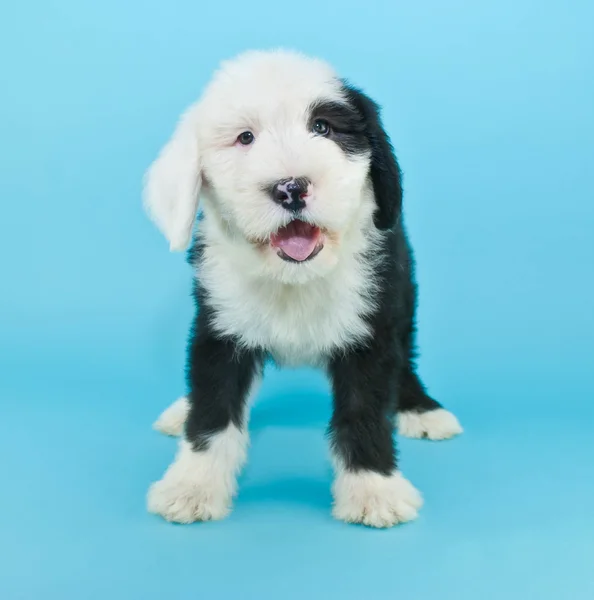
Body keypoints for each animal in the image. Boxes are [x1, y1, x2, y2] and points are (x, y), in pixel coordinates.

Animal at [143, 49, 462, 528]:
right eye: (245, 138)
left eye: (323, 128)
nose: (291, 187)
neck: (293, 279)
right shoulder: (220, 327)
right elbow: (213, 406)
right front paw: (192, 486)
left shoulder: (371, 327)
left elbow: (364, 408)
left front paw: (373, 489)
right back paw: (182, 410)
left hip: (402, 296)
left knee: (405, 357)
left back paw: (422, 408)